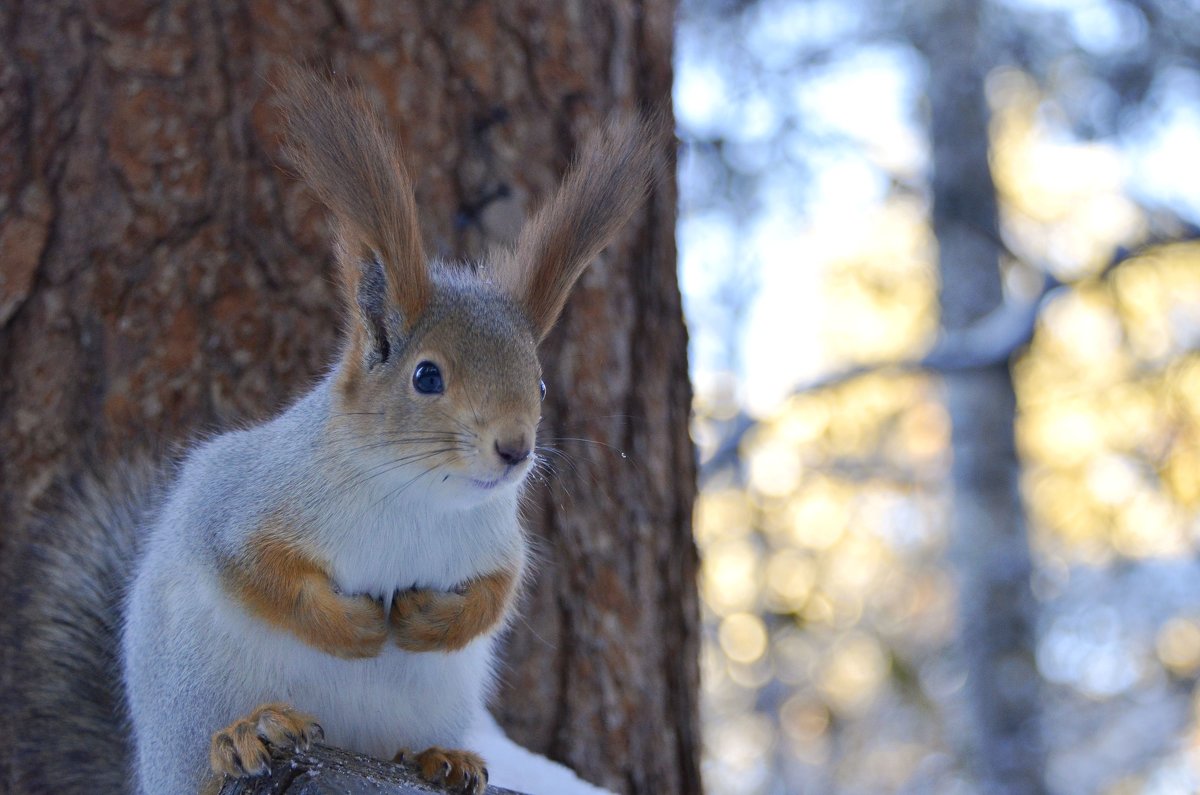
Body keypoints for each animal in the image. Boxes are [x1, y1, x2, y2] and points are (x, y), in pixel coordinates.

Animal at [7, 69, 657, 795]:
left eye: (539, 385)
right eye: (427, 376)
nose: (515, 449)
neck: (419, 495)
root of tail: (147, 772)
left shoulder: (495, 541)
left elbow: (497, 593)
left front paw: (431, 620)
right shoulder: (246, 503)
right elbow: (261, 572)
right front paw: (355, 627)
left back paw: (440, 757)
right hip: (189, 715)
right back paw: (246, 734)